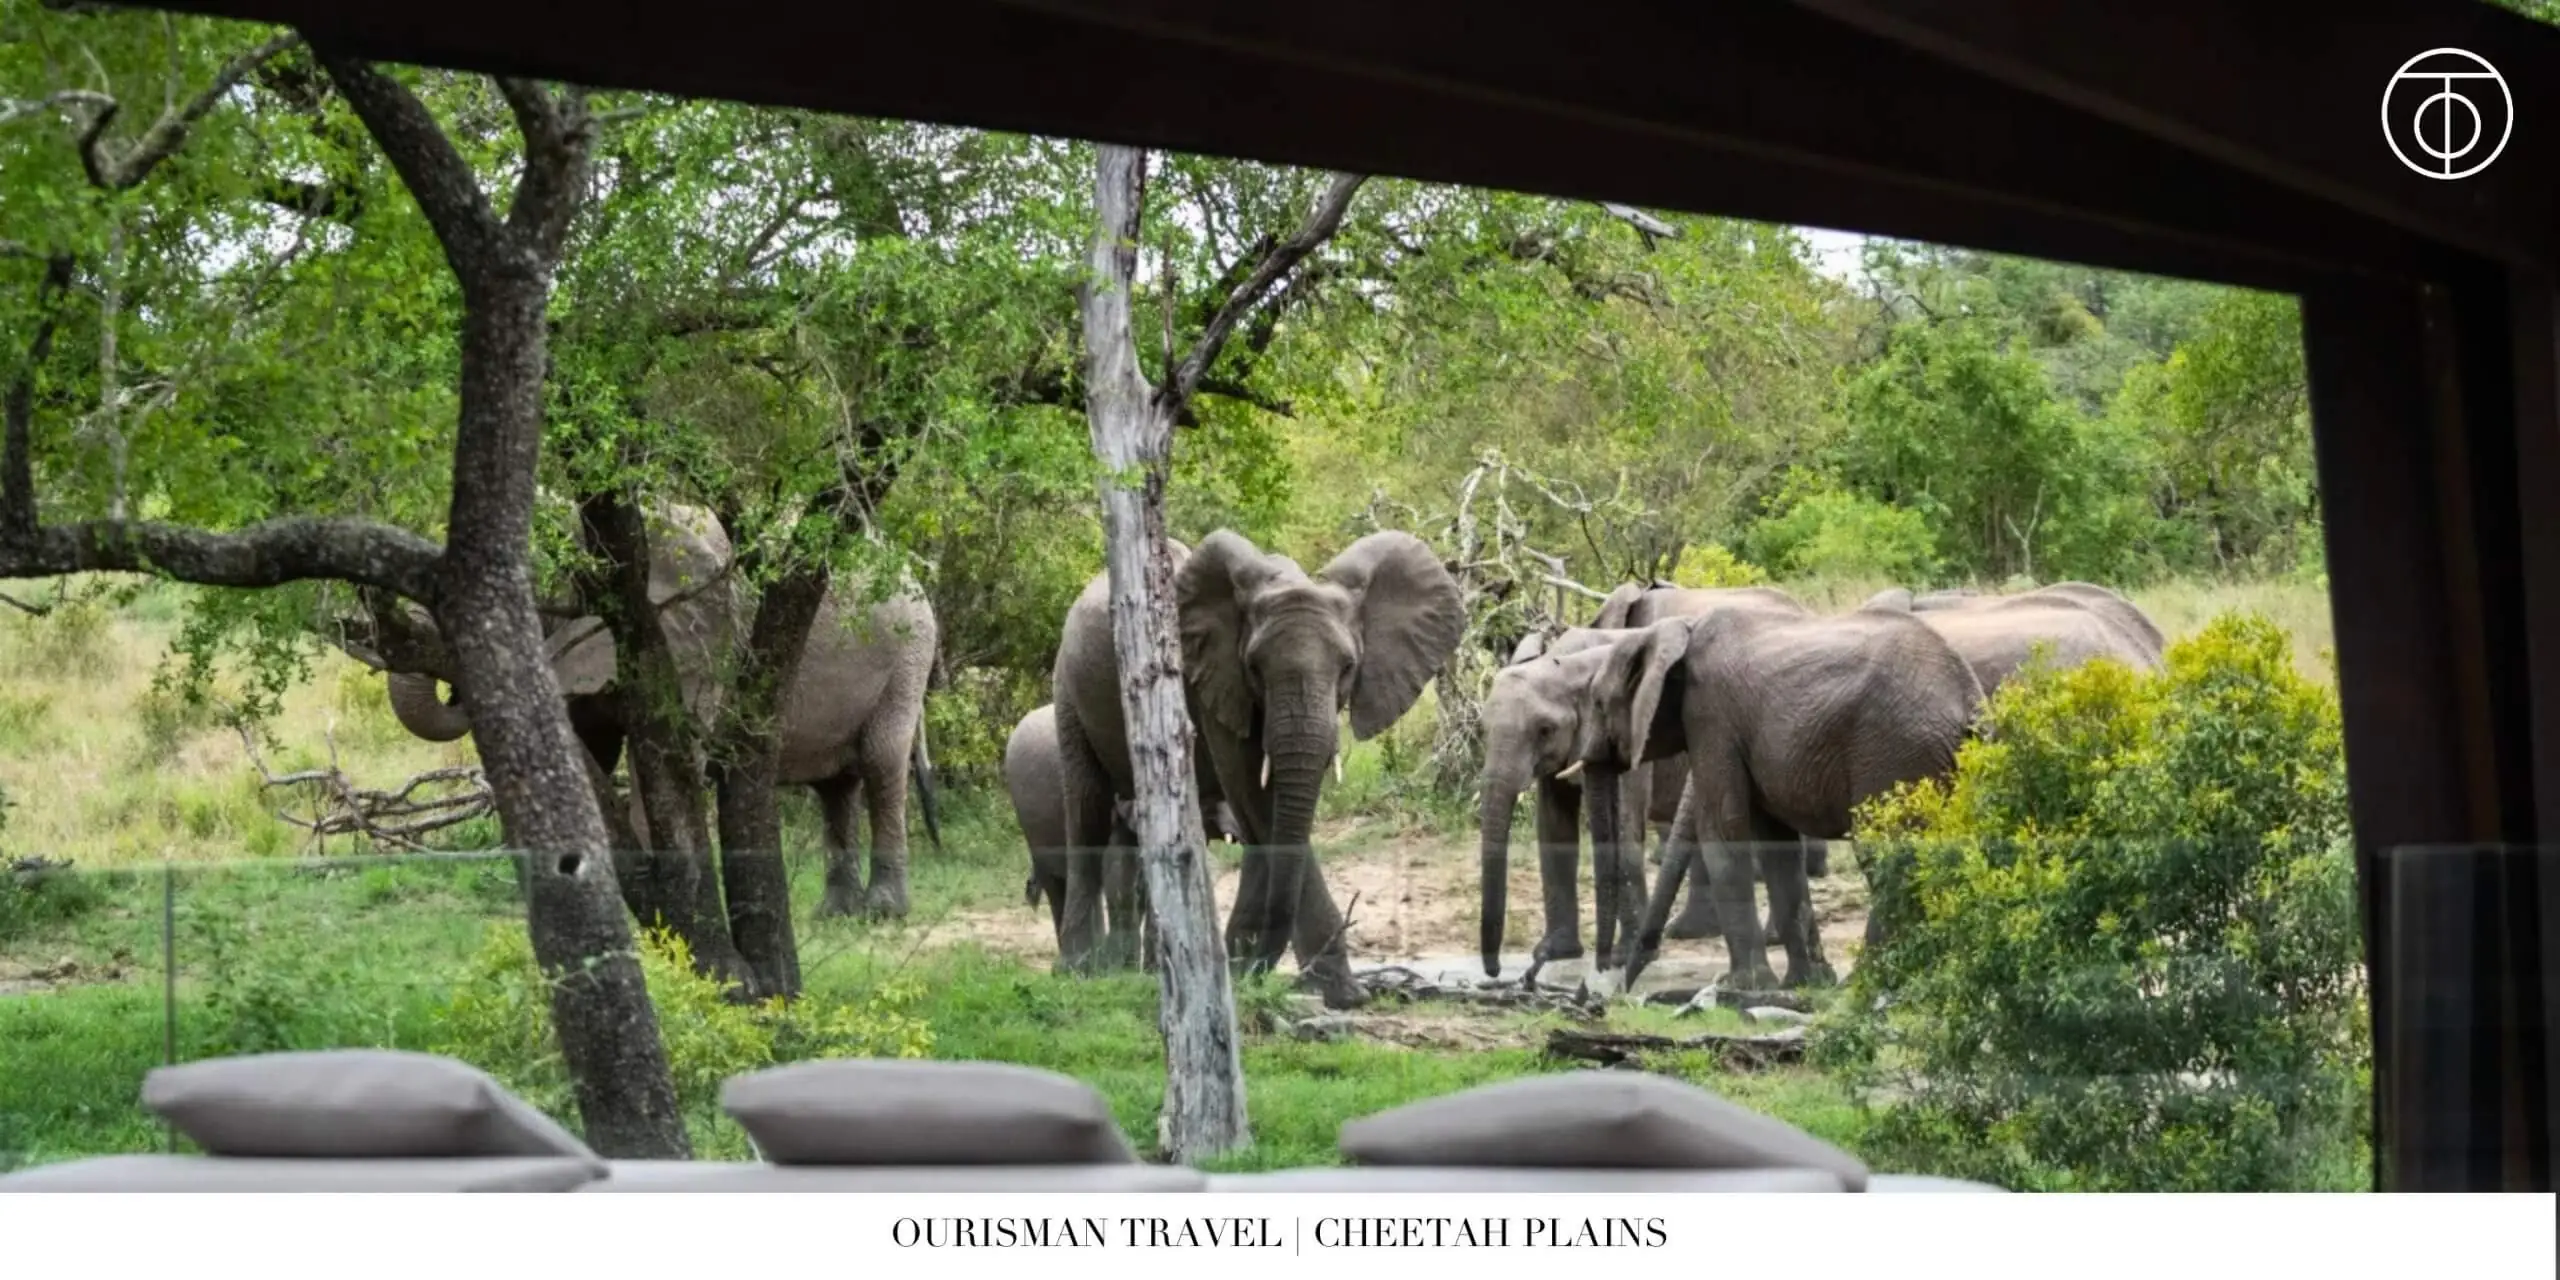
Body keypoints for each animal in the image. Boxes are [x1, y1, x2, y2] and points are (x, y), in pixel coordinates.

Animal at [382, 502, 941, 920]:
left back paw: (882, 913)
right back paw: (834, 913)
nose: (452, 687)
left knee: (880, 763)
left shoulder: (692, 645)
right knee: (835, 786)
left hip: (909, 656)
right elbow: (590, 753)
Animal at [1051, 529, 1465, 1006]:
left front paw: (1246, 969)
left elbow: (1265, 817)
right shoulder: (1210, 679)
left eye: (1348, 668)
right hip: (1067, 690)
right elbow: (1258, 797)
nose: (1251, 966)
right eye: (1254, 667)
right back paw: (1079, 970)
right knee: (1086, 813)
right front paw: (1341, 993)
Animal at [1584, 607, 1985, 991]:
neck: (1678, 631)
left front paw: (1742, 987)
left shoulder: (1710, 716)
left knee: (1884, 851)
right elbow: (1776, 845)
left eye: (1599, 703)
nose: (1616, 989)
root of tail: (1967, 696)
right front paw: (1805, 984)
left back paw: (1870, 981)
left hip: (1894, 748)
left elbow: (1722, 829)